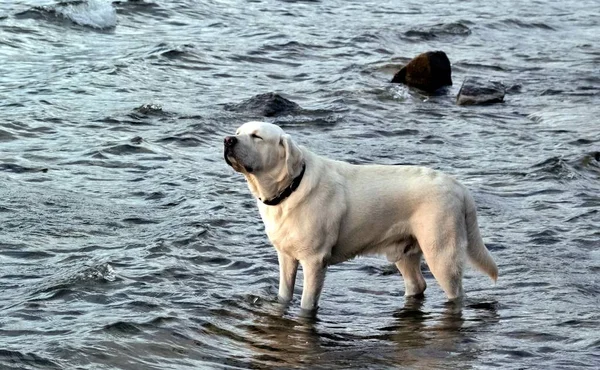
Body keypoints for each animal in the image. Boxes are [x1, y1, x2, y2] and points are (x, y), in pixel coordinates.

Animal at [224, 122, 496, 312]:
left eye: (257, 136)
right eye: (238, 131)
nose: (228, 140)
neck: (290, 187)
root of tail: (458, 185)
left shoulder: (315, 261)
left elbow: (306, 303)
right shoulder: (286, 256)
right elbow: (284, 294)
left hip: (441, 254)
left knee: (456, 293)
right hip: (403, 252)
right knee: (417, 284)